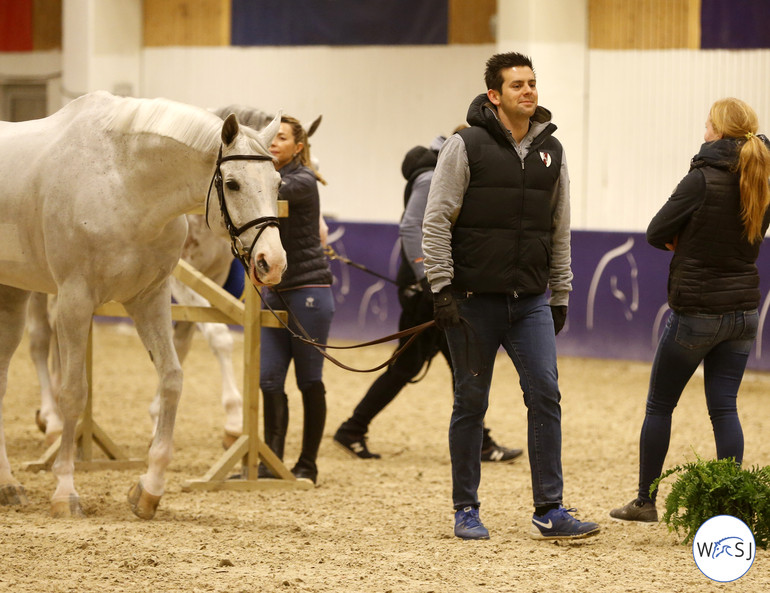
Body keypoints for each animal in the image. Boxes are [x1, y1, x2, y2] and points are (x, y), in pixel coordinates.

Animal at [0, 89, 286, 520]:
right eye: (232, 183)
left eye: (278, 182)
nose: (273, 262)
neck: (123, 185)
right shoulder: (73, 302)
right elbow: (74, 393)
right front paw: (65, 491)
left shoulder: (149, 298)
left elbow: (172, 379)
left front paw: (148, 489)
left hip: (13, 295)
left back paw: (8, 484)